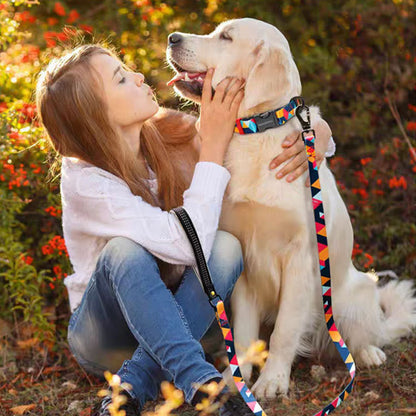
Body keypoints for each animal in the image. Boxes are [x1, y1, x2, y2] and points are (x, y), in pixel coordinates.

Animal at [166, 17, 416, 398]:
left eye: (226, 37)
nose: (172, 38)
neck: (255, 132)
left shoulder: (301, 257)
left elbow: (285, 330)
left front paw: (272, 380)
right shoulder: (246, 258)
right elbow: (243, 334)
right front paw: (237, 380)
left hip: (353, 295)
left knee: (361, 335)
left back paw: (369, 353)